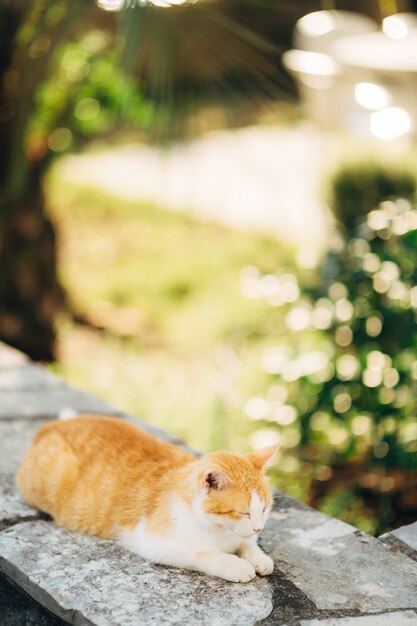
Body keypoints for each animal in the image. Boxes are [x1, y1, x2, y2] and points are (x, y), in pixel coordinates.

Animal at [16, 414, 276, 580]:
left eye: (264, 509)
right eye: (242, 512)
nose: (259, 528)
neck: (219, 531)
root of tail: (50, 425)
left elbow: (248, 544)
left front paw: (258, 557)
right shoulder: (151, 542)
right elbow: (202, 553)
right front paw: (234, 564)